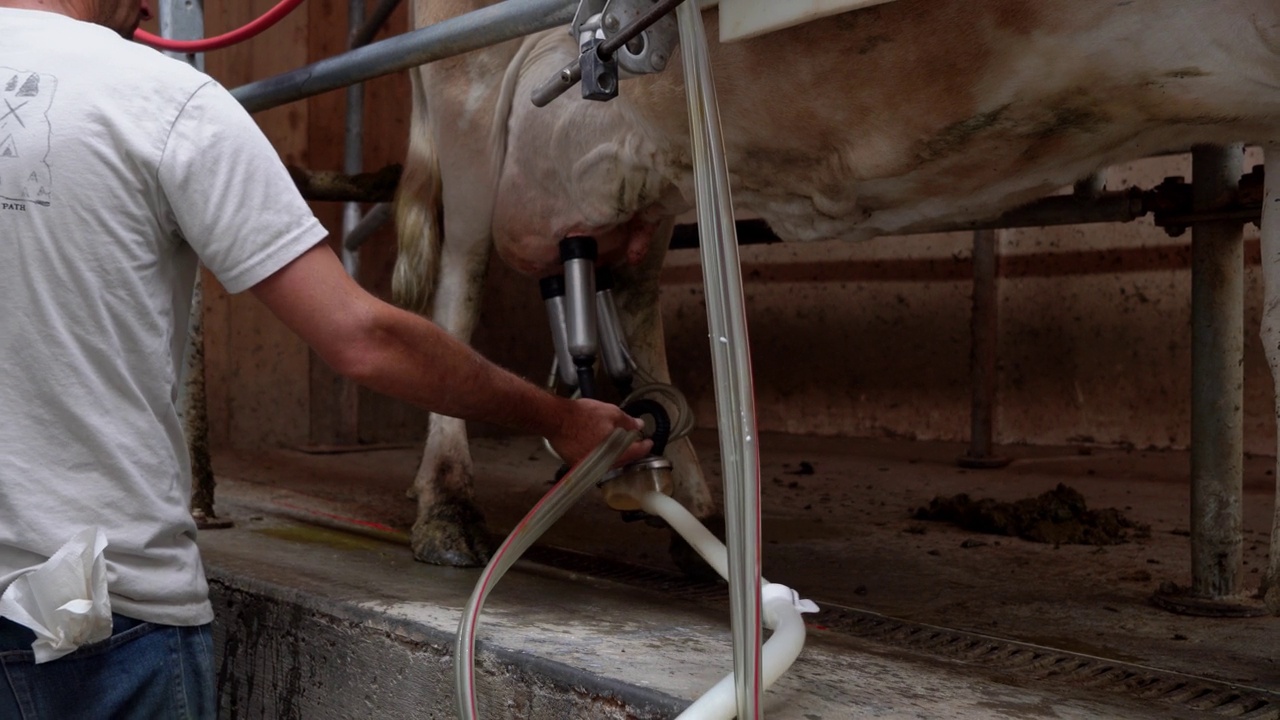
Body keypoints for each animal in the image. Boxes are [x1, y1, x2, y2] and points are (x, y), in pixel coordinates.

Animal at [389, 0, 1280, 599]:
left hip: (644, 165)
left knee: (628, 287)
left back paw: (689, 501)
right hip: (469, 93)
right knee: (458, 283)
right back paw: (448, 507)